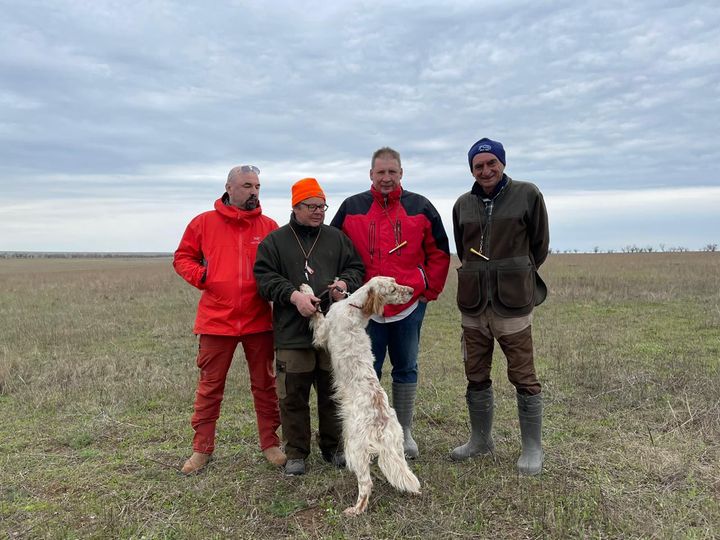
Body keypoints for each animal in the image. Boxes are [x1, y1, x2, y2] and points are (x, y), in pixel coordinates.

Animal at [301, 276, 421, 516]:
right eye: (393, 286)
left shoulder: (322, 331)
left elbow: (316, 313)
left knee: (366, 484)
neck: (353, 307)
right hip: (397, 447)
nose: (412, 291)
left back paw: (356, 509)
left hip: (354, 447)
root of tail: (383, 425)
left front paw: (306, 290)